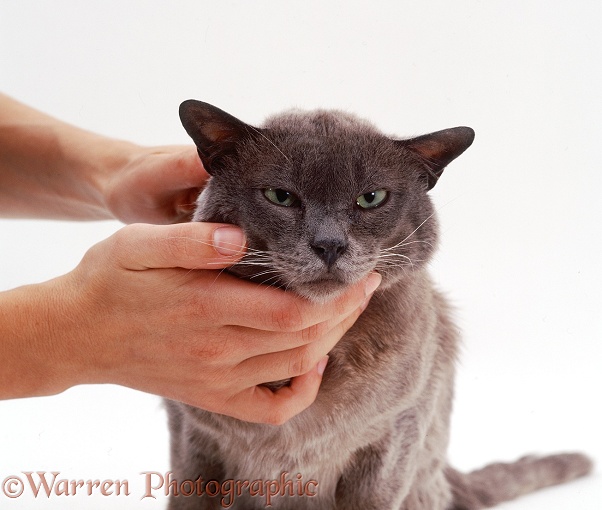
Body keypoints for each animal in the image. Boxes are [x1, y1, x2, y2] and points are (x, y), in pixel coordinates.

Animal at [164, 100, 592, 510]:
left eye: (371, 199)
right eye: (280, 196)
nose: (329, 245)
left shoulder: (393, 434)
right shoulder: (192, 436)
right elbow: (191, 497)